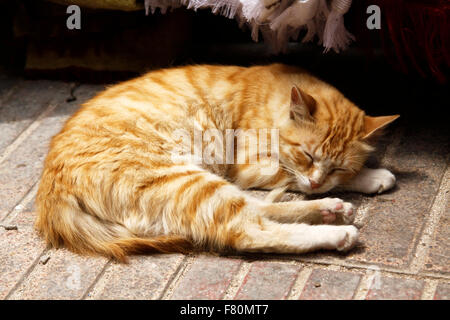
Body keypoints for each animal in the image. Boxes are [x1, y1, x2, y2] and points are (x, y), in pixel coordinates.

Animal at [37, 63, 400, 262]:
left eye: (337, 165)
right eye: (307, 155)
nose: (317, 180)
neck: (273, 94)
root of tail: (51, 193)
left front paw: (359, 177)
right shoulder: (252, 165)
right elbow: (292, 176)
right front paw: (368, 176)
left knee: (258, 210)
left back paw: (329, 209)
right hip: (189, 180)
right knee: (249, 230)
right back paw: (335, 231)